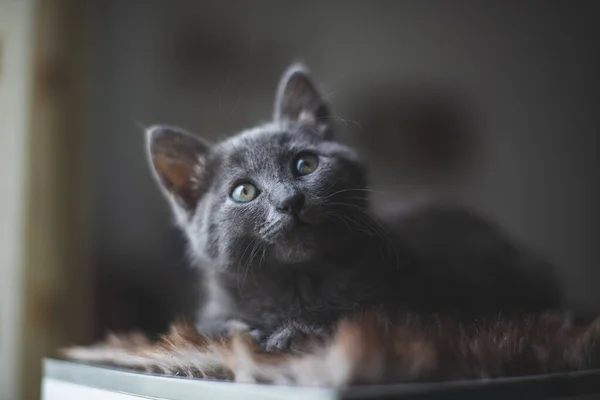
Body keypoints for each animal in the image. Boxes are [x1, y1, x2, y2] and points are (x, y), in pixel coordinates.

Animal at [146, 63, 564, 350]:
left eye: (305, 164)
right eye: (244, 192)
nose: (289, 200)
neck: (299, 286)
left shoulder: (416, 309)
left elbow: (362, 320)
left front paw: (295, 334)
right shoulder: (209, 316)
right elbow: (216, 329)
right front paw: (253, 332)